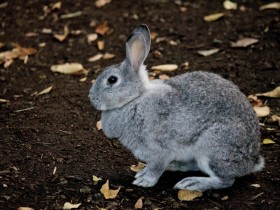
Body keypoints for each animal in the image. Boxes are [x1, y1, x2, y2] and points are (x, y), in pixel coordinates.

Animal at [89, 24, 264, 192]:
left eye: (112, 80)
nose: (91, 98)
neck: (134, 99)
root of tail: (251, 161)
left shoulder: (159, 149)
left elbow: (156, 167)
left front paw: (145, 181)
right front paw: (142, 173)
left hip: (214, 146)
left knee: (225, 180)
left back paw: (193, 183)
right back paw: (176, 167)